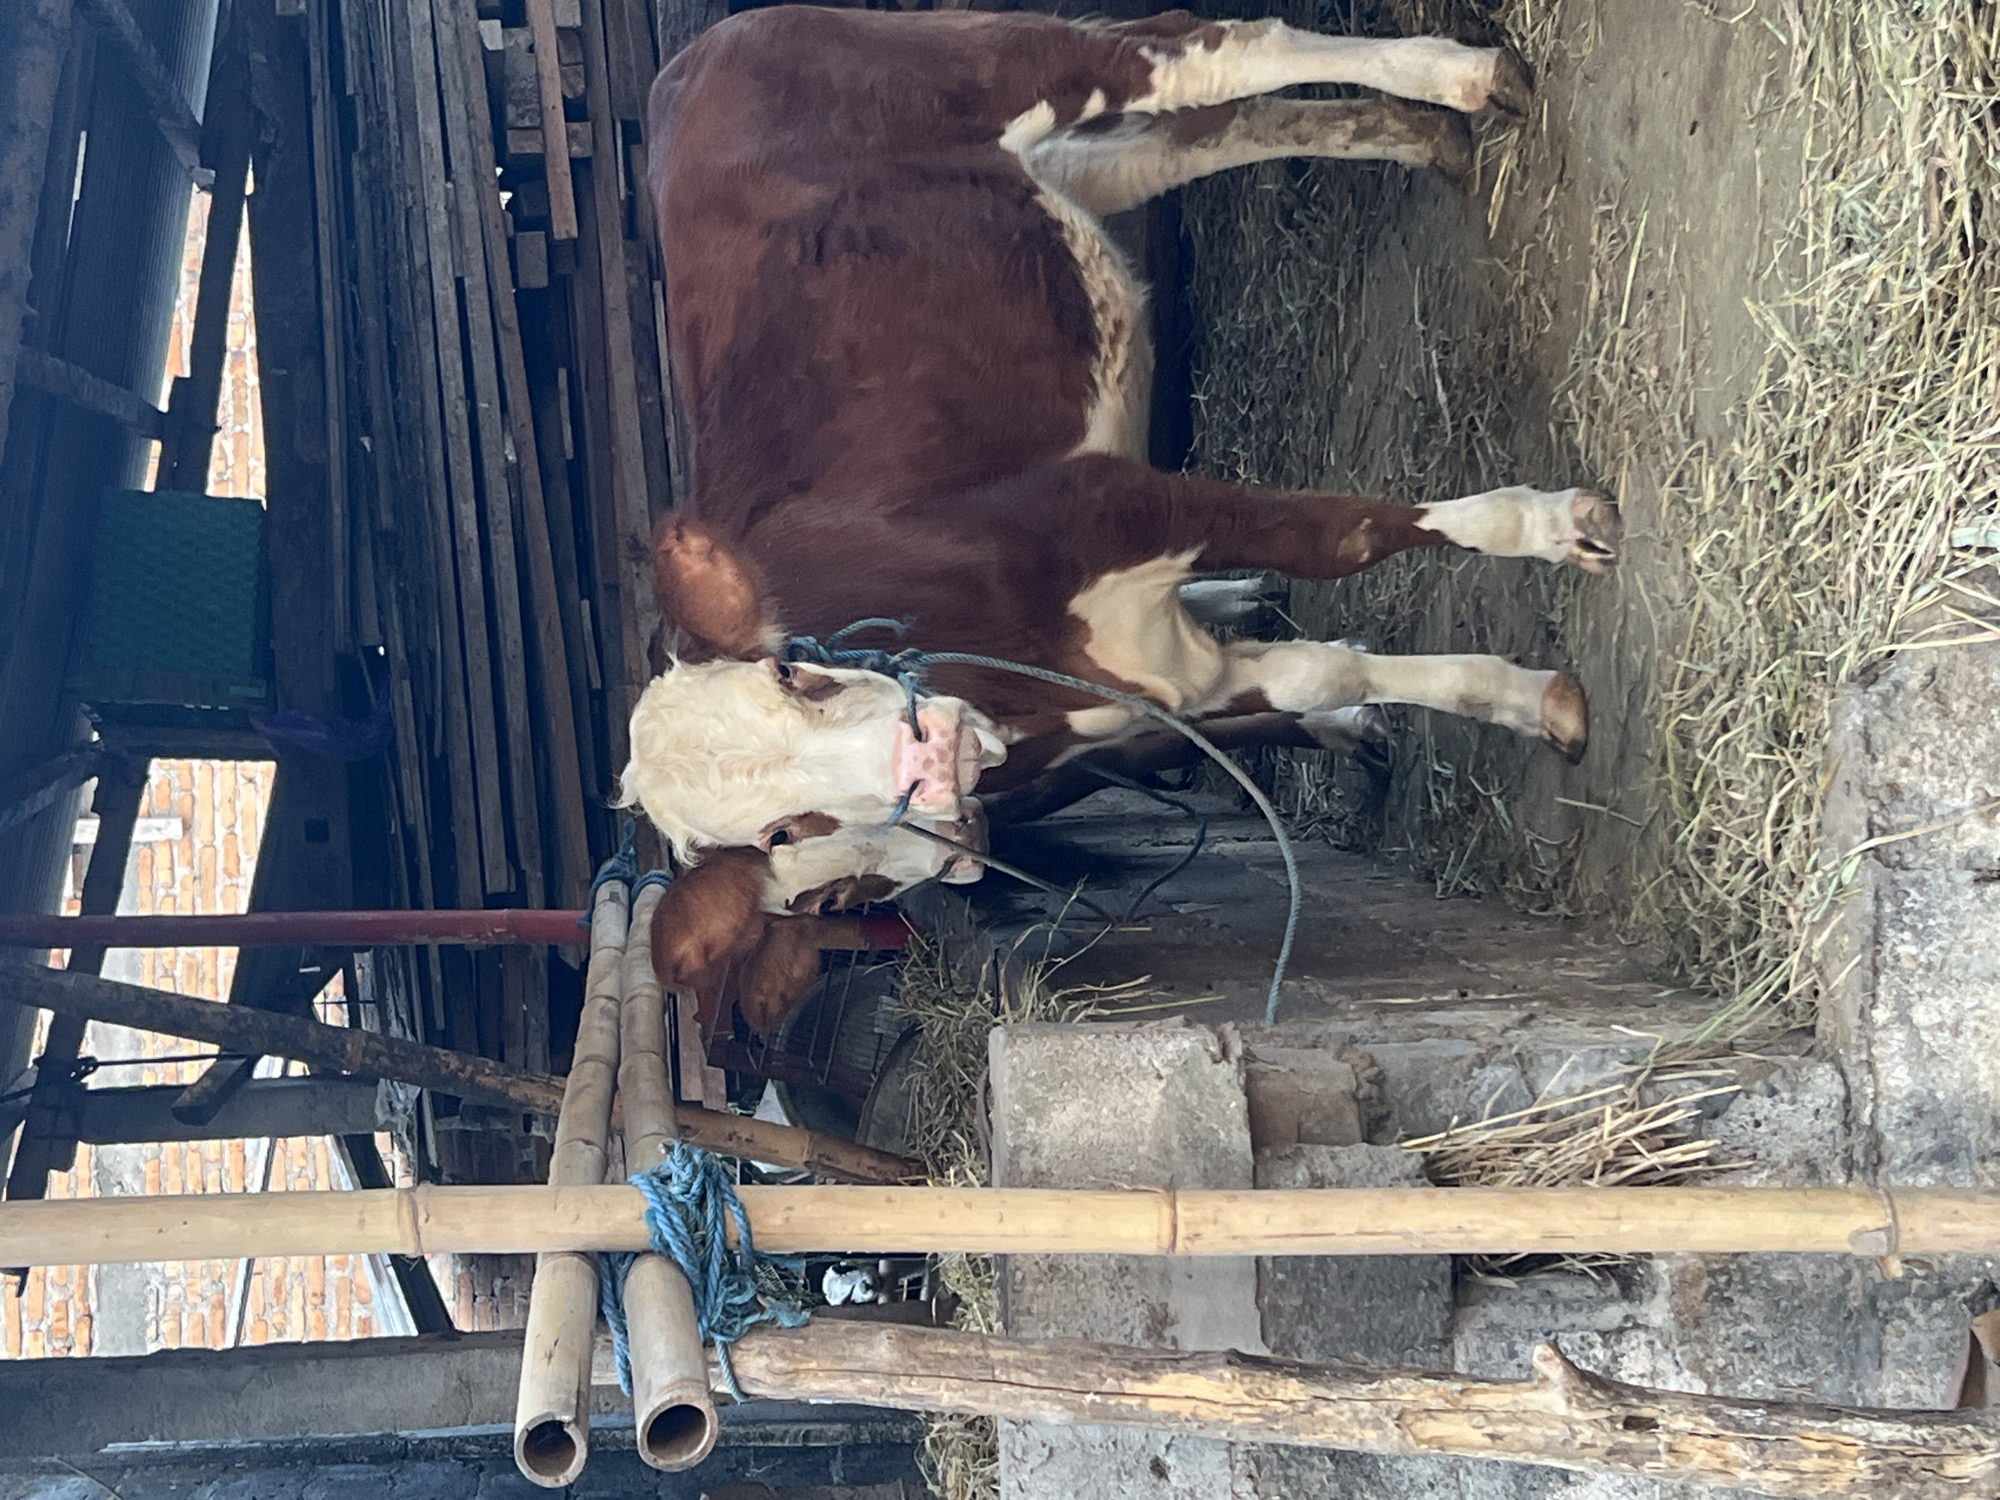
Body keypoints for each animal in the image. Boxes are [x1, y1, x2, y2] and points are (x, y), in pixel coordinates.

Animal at [619, 6, 1620, 1040]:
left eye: (791, 672)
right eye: (790, 848)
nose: (928, 760)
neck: (1019, 683)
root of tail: (692, 61)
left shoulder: (1112, 505)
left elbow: (1345, 539)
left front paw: (1559, 527)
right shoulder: (1164, 677)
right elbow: (1320, 671)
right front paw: (1529, 701)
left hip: (1012, 67)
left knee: (1210, 51)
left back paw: (1466, 79)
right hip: (1054, 170)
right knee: (1185, 139)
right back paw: (1423, 140)